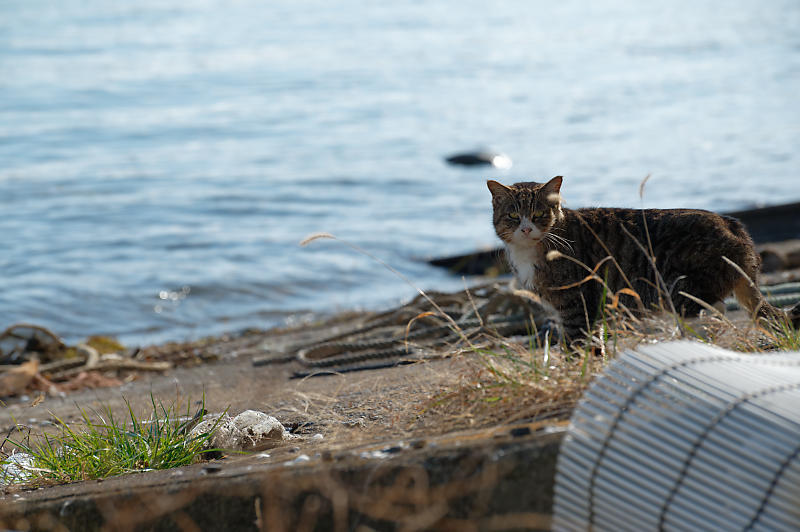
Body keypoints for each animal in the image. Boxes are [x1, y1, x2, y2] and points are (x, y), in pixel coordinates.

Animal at [488, 176, 792, 340]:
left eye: (539, 214)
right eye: (513, 215)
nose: (526, 228)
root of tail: (732, 223)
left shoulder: (576, 306)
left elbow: (574, 346)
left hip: (683, 291)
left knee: (711, 318)